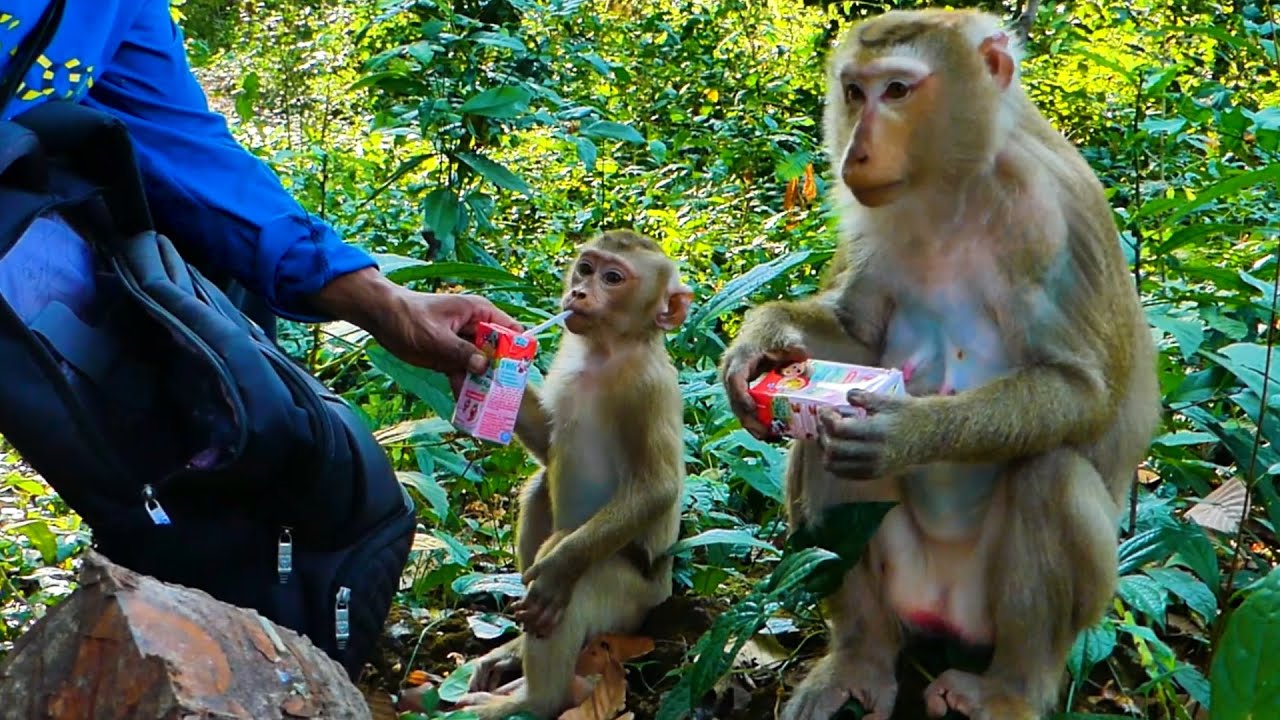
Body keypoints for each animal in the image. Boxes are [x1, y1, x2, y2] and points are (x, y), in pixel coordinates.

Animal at [456, 229, 692, 720]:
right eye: (585, 268)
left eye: (613, 278)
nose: (579, 293)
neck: (606, 350)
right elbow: (548, 445)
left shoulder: (647, 389)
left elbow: (657, 489)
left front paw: (556, 570)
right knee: (538, 488)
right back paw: (511, 655)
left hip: (627, 604)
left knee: (576, 584)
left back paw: (531, 699)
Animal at [718, 9, 1160, 720]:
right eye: (854, 92)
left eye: (898, 90)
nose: (855, 152)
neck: (953, 190)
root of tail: (940, 616)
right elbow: (857, 337)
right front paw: (762, 341)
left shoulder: (1050, 215)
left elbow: (1081, 391)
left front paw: (908, 432)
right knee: (821, 451)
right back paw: (860, 657)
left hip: (1026, 614)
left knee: (1051, 474)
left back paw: (1012, 689)